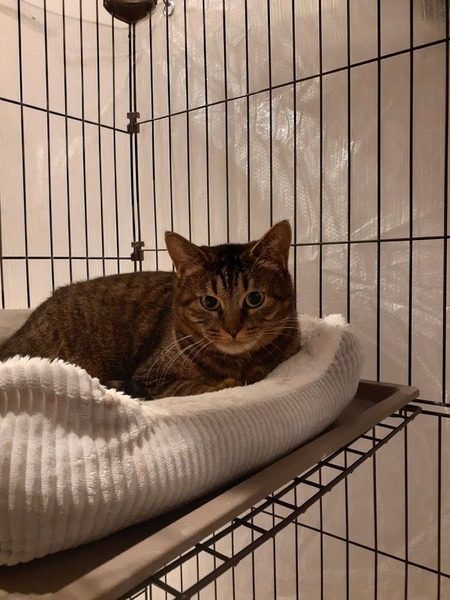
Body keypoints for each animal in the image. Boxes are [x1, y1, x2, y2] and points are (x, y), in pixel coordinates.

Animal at [0, 220, 300, 399]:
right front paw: (226, 382)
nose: (233, 329)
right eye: (209, 302)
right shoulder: (149, 378)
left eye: (254, 298)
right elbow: (187, 387)